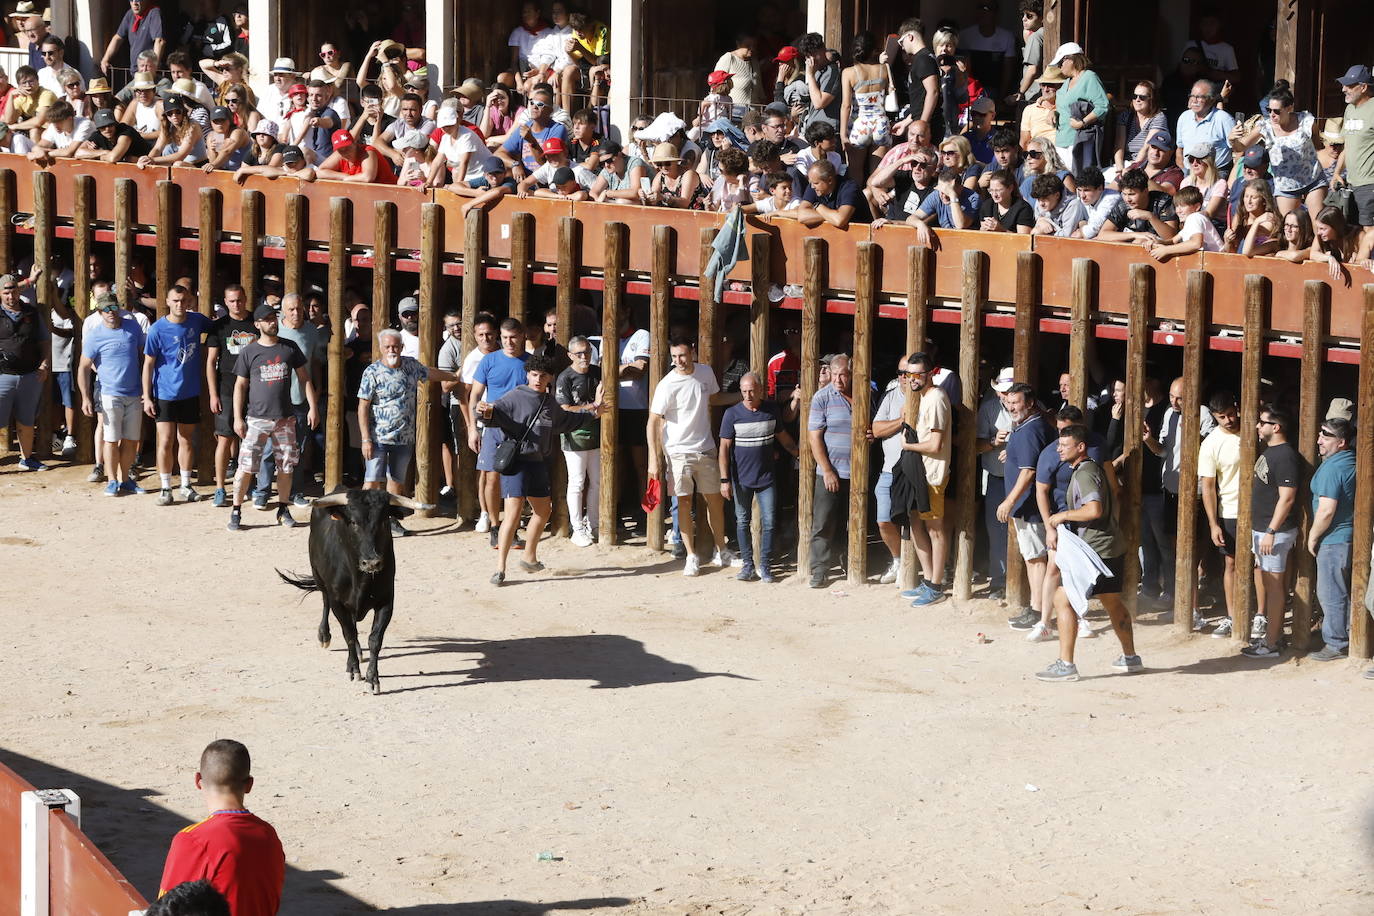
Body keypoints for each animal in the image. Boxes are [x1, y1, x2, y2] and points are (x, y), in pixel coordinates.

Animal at [277, 491, 428, 692]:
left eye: (383, 521)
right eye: (354, 522)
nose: (372, 562)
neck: (361, 580)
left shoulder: (386, 602)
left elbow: (374, 639)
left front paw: (372, 679)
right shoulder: (338, 603)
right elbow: (348, 633)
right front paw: (353, 669)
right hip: (318, 576)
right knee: (325, 602)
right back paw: (324, 636)